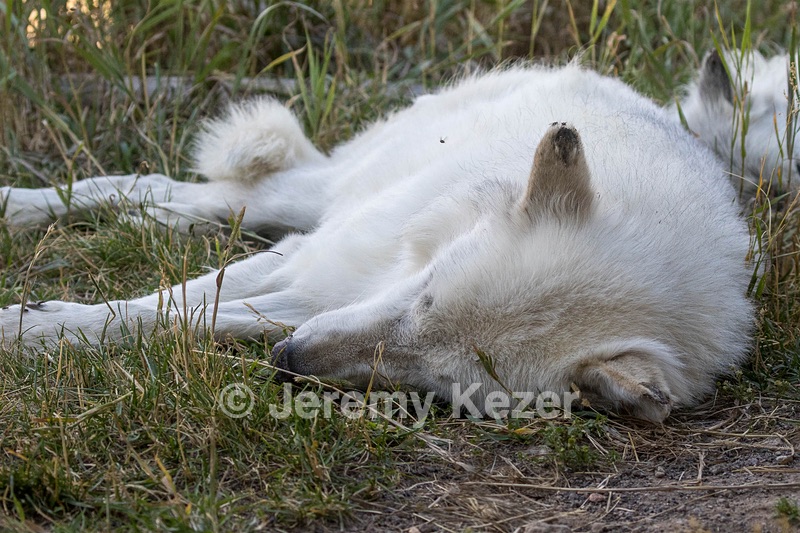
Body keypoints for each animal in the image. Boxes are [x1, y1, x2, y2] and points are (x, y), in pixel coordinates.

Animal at [1, 63, 758, 423]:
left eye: (437, 383)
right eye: (425, 295)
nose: (289, 361)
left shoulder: (310, 296)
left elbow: (194, 317)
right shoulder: (315, 262)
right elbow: (157, 306)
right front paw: (28, 327)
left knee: (196, 205)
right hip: (316, 197)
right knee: (180, 188)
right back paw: (19, 206)